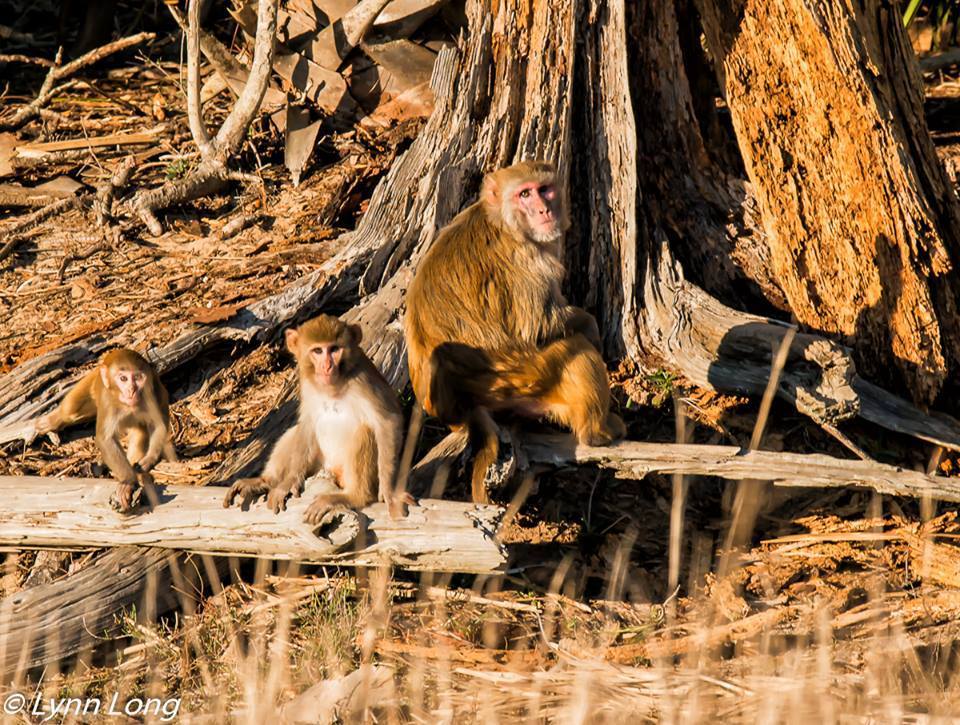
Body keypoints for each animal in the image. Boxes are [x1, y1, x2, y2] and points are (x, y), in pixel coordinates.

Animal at [36, 348, 178, 512]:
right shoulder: (108, 401)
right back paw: (52, 420)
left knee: (140, 431)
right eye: (123, 379)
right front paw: (128, 481)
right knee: (70, 410)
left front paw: (147, 461)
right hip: (92, 379)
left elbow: (158, 425)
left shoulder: (151, 394)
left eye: (137, 378)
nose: (131, 390)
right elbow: (105, 439)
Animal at [222, 314, 412, 524]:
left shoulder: (363, 381)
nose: (327, 366)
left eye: (334, 349)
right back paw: (267, 481)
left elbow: (387, 421)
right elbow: (307, 424)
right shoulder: (307, 384)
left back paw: (353, 496)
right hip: (317, 463)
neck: (333, 387)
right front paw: (289, 481)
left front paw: (389, 491)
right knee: (295, 432)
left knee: (364, 432)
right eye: (318, 351)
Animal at [404, 159, 624, 504]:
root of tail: (462, 405)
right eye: (524, 194)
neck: (504, 221)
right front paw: (590, 326)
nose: (544, 210)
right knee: (577, 353)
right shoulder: (528, 259)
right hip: (520, 375)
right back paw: (596, 431)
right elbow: (540, 327)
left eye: (544, 189)